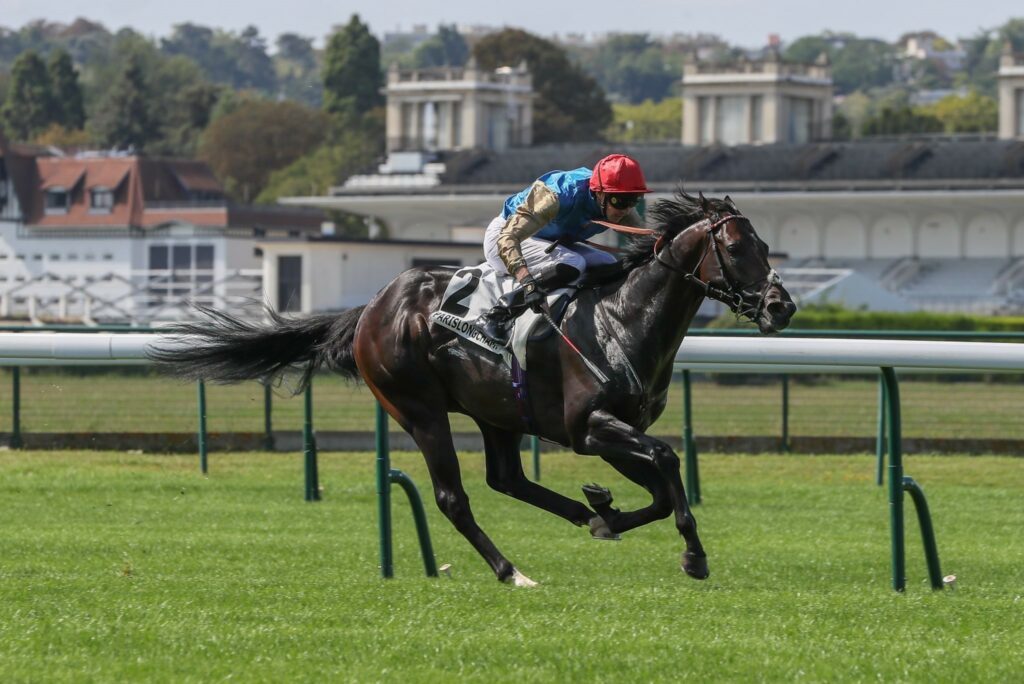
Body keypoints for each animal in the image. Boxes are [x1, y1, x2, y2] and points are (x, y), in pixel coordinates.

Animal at [148, 189, 794, 585]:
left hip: (497, 412)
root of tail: (371, 309)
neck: (622, 318)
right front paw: (694, 554)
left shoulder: (615, 430)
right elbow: (666, 463)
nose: (780, 306)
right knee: (453, 497)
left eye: (765, 246)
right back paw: (511, 571)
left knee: (506, 478)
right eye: (734, 247)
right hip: (420, 409)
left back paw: (581, 514)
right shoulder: (589, 427)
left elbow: (660, 486)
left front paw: (604, 512)